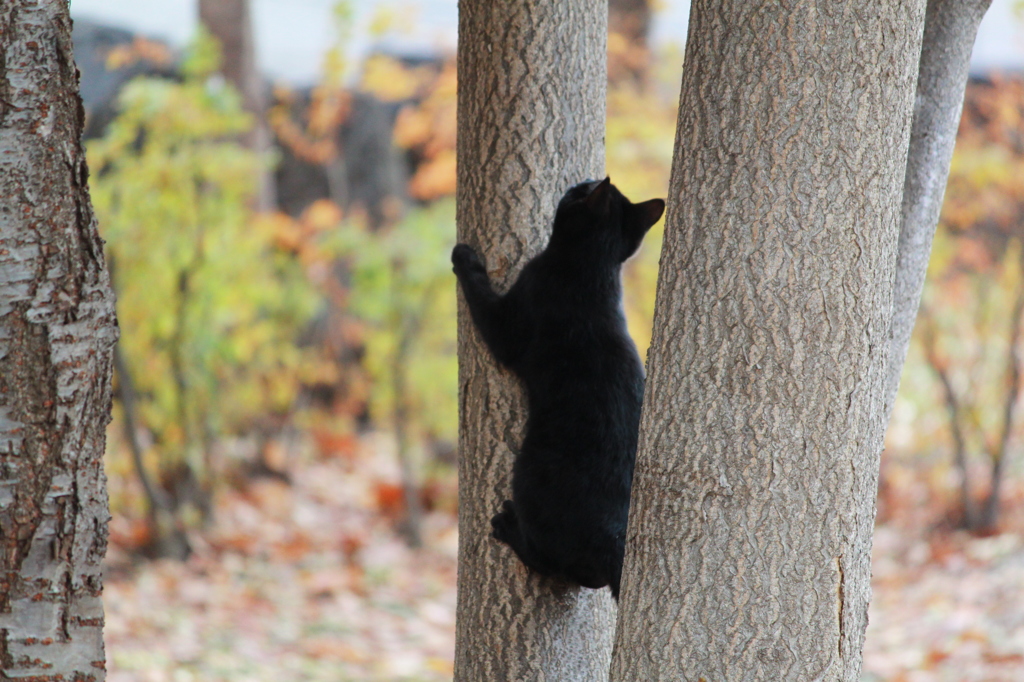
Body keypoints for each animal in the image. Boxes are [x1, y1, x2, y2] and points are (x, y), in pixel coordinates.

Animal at [454, 178, 663, 598]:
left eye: (583, 189)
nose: (581, 181)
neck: (592, 270)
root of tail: (614, 533)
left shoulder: (512, 322)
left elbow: (481, 297)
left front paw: (464, 258)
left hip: (529, 476)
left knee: (551, 560)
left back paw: (509, 529)